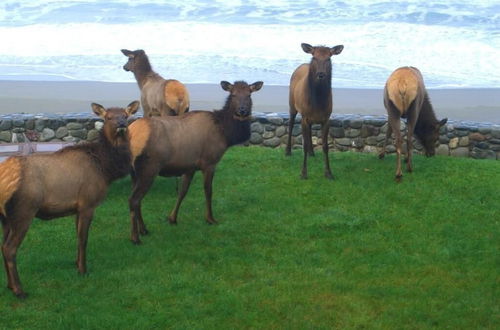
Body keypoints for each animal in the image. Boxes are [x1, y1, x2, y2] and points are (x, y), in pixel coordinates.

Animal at [0, 101, 139, 300]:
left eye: (126, 115)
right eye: (108, 117)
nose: (121, 124)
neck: (105, 170)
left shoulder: (77, 207)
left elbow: (77, 236)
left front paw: (76, 263)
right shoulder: (88, 203)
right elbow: (84, 238)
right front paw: (83, 270)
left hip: (5, 218)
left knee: (2, 246)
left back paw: (10, 286)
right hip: (23, 211)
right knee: (9, 249)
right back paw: (19, 290)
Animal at [127, 80, 264, 245]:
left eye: (249, 94)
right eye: (233, 94)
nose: (242, 110)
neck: (225, 134)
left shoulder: (190, 167)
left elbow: (182, 192)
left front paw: (172, 218)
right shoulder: (210, 162)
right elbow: (208, 191)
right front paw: (210, 218)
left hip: (134, 173)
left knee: (138, 200)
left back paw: (144, 229)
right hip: (149, 169)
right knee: (134, 200)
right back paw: (135, 237)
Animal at [286, 43, 344, 180]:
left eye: (328, 58)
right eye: (314, 57)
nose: (321, 74)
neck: (317, 103)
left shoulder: (326, 118)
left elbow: (325, 146)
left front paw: (328, 173)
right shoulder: (304, 117)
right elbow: (304, 145)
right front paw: (303, 173)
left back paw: (312, 153)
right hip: (292, 104)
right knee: (290, 124)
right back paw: (288, 151)